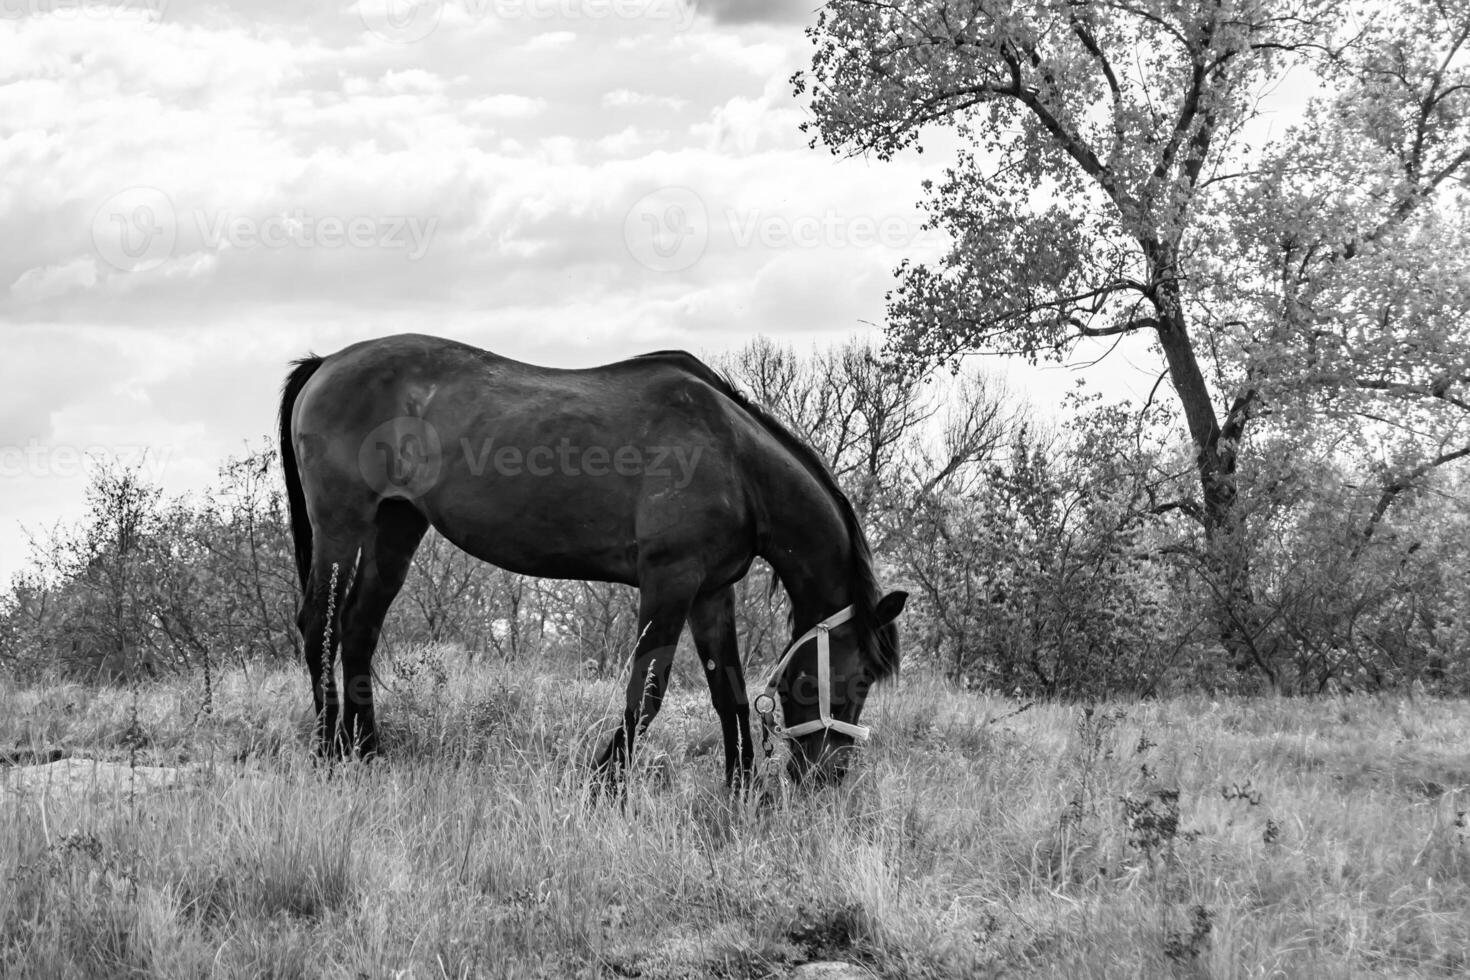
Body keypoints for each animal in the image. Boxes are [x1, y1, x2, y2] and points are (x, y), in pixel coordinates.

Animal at [270, 333, 899, 787]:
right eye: (860, 677)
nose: (830, 778)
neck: (733, 458)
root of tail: (326, 364)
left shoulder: (711, 593)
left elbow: (730, 694)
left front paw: (740, 790)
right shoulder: (670, 581)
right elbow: (647, 691)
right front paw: (606, 782)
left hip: (396, 528)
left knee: (359, 628)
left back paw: (368, 753)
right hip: (341, 525)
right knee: (319, 626)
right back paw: (329, 752)